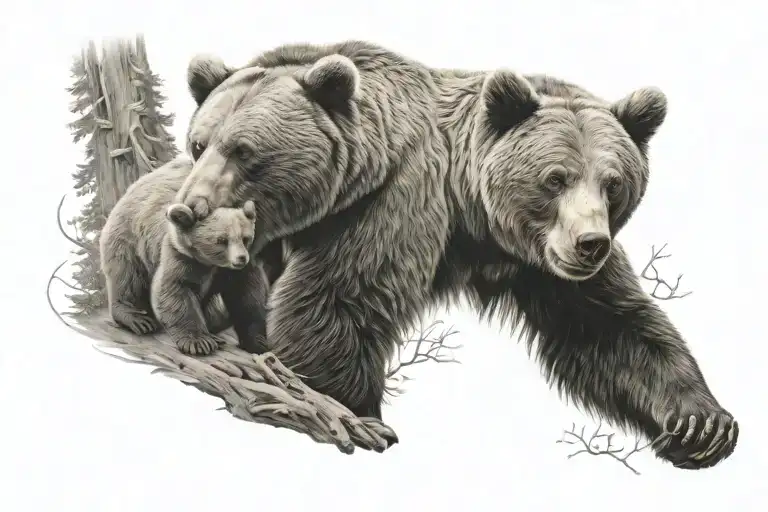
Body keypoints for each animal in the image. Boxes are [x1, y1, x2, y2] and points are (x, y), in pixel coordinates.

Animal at [99, 157, 269, 355]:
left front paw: (257, 342)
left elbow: (249, 297)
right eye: (221, 240)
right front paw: (199, 342)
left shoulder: (241, 269)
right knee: (127, 275)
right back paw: (138, 318)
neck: (212, 264)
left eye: (245, 238)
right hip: (129, 236)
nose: (241, 258)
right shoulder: (179, 253)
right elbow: (175, 289)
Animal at [174, 40, 738, 470]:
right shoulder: (395, 204)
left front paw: (701, 424)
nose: (590, 243)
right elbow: (336, 305)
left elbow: (611, 328)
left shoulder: (539, 263)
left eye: (613, 183)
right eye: (555, 178)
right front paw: (349, 412)